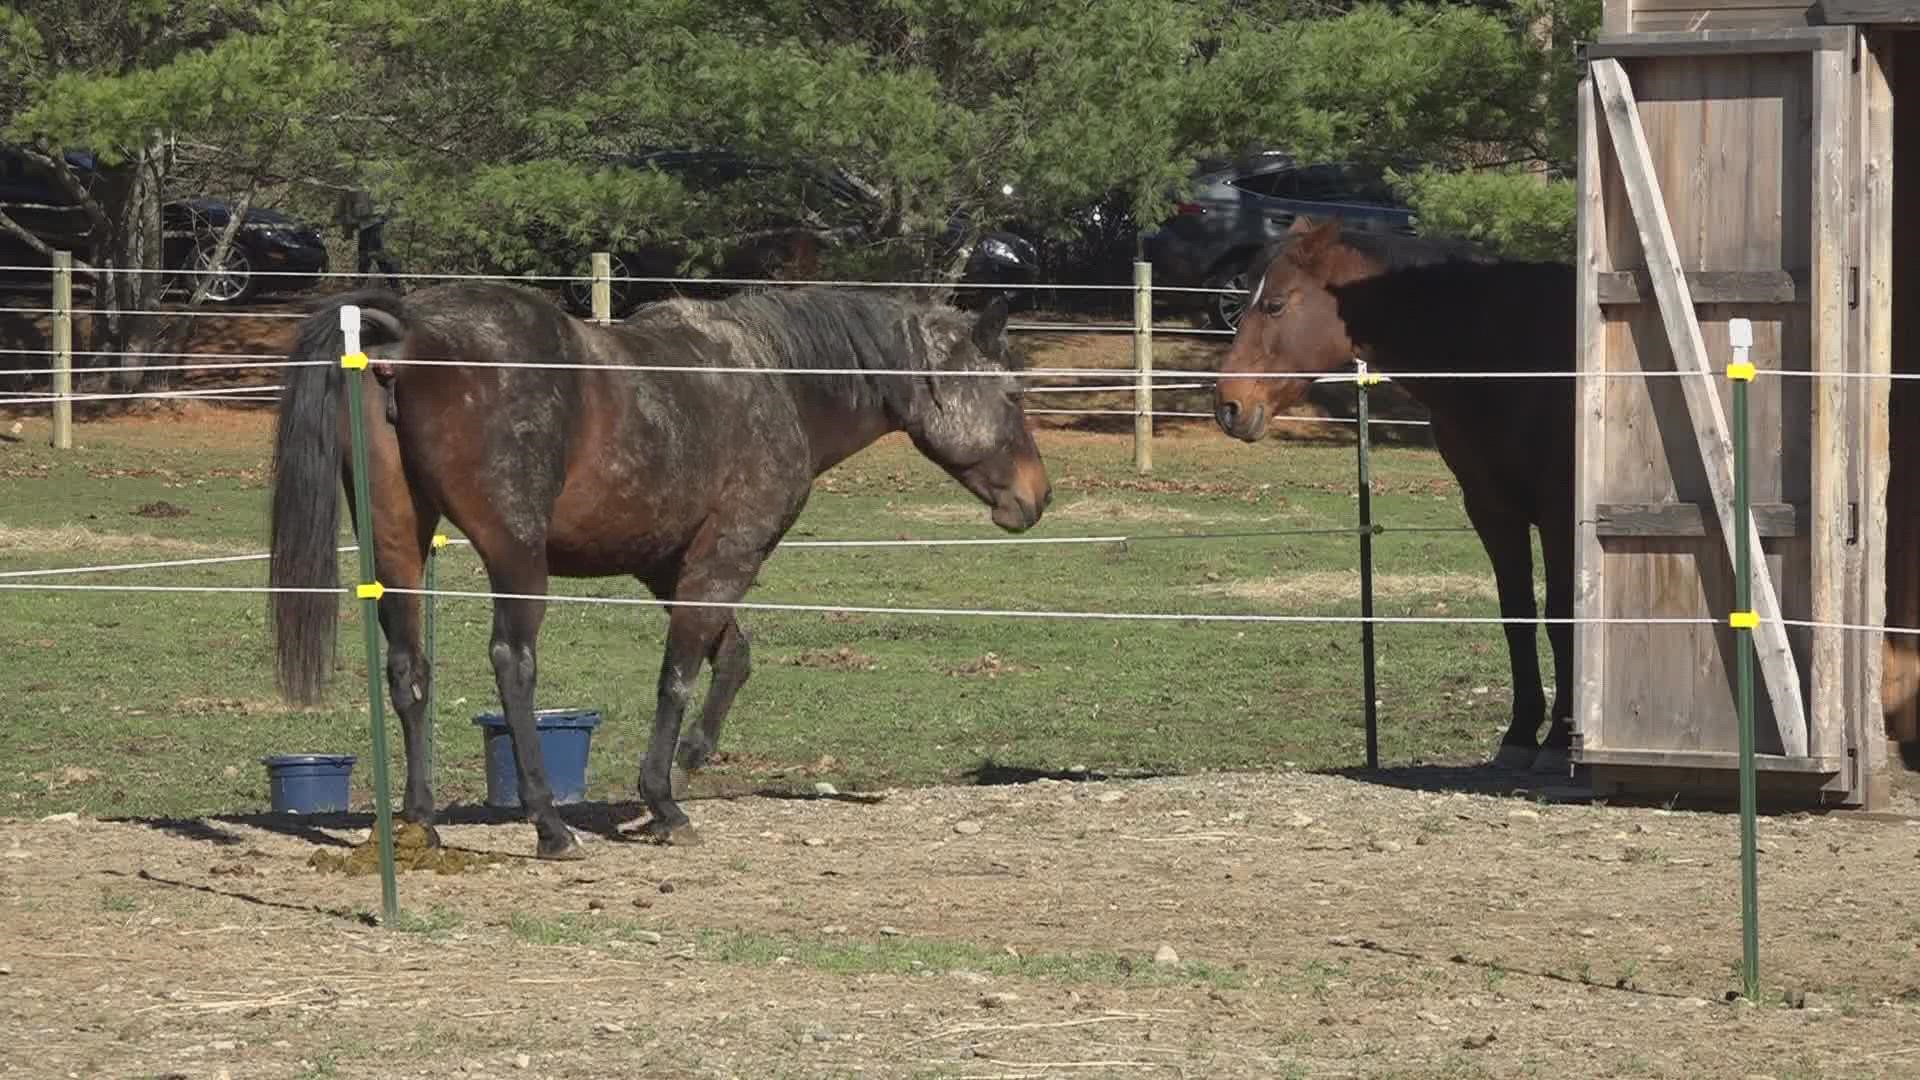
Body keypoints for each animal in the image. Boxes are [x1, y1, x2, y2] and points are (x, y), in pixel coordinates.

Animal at [266, 278, 1052, 857]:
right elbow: (679, 675)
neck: (775, 378)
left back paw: (418, 821)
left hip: (399, 545)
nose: (1037, 496)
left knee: (410, 670)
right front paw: (664, 798)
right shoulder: (726, 556)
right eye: (1012, 394)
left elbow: (732, 656)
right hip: (517, 557)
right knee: (513, 662)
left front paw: (695, 756)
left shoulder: (669, 567)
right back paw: (550, 825)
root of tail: (413, 328)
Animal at [1213, 219, 1574, 768]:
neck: (1509, 355)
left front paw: (1558, 743)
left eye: (1274, 304)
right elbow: (1518, 616)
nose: (1228, 405)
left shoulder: (1560, 513)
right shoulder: (1493, 510)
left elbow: (1564, 618)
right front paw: (1519, 735)